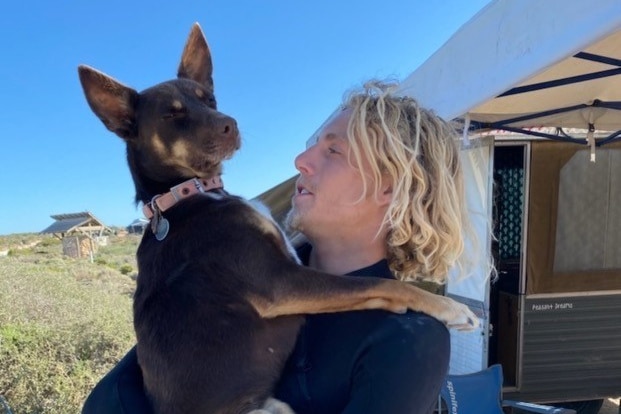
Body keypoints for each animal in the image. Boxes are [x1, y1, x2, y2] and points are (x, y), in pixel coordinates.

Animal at [76, 24, 474, 414]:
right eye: (172, 115)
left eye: (210, 100)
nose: (230, 124)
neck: (183, 194)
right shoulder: (280, 283)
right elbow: (379, 284)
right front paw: (450, 308)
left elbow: (371, 286)